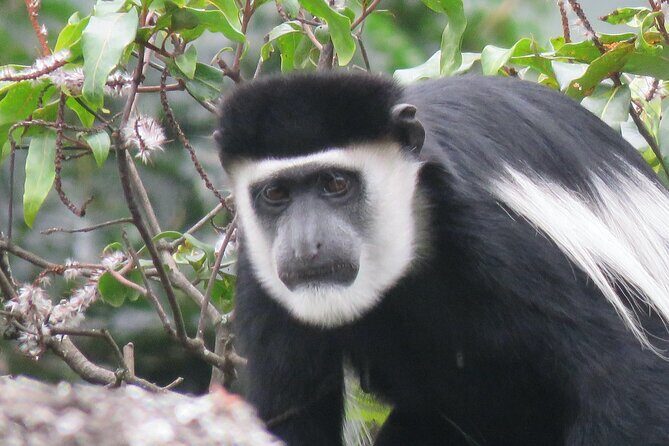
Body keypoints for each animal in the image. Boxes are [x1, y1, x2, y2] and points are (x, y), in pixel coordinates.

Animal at [215, 72, 669, 445]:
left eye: (336, 183)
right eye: (276, 194)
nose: (307, 245)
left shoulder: (508, 238)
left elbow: (628, 380)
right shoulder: (261, 276)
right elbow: (291, 417)